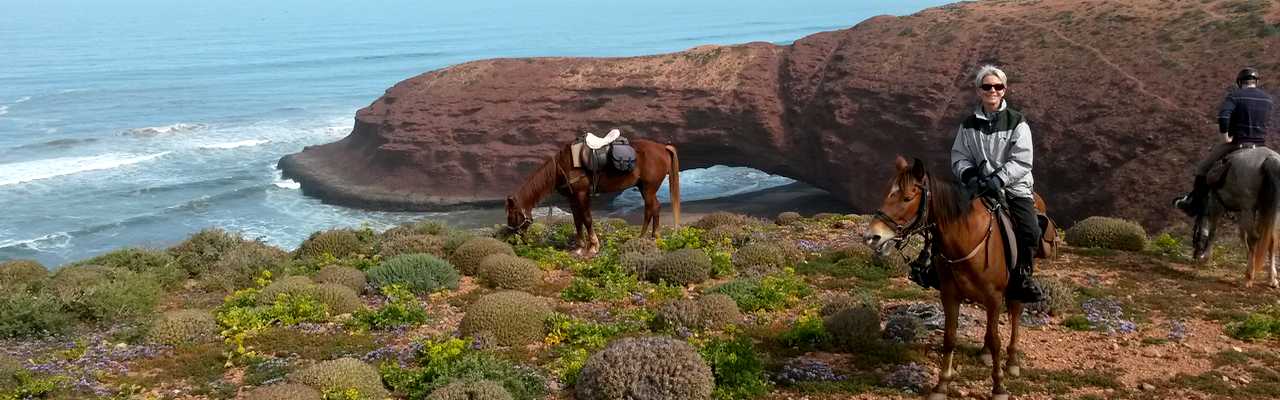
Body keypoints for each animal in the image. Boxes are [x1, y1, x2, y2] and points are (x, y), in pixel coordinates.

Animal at [504, 139, 680, 255]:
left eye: (512, 216)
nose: (512, 240)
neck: (562, 166)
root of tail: (663, 148)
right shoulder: (572, 197)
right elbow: (577, 220)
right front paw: (580, 246)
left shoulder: (582, 194)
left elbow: (587, 219)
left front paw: (594, 246)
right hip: (644, 188)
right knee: (655, 208)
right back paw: (653, 237)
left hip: (649, 188)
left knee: (650, 209)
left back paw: (642, 237)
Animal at [860, 156, 1049, 400]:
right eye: (887, 193)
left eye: (907, 197)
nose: (871, 237)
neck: (967, 239)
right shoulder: (950, 295)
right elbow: (949, 337)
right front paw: (941, 385)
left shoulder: (994, 296)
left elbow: (997, 340)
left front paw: (998, 387)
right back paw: (984, 353)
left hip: (1015, 286)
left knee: (1015, 313)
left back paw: (1013, 361)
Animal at [1182, 146, 1274, 287]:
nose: (1195, 254)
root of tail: (1268, 158)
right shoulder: (1242, 211)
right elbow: (1242, 234)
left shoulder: (1216, 205)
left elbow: (1213, 231)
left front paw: (1205, 257)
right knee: (1270, 239)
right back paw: (1272, 279)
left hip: (1248, 208)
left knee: (1254, 237)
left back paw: (1249, 277)